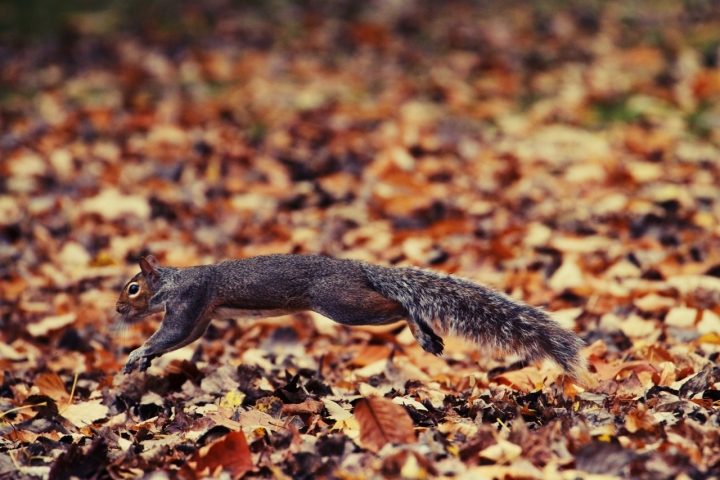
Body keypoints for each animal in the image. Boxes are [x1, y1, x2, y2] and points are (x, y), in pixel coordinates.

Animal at [115, 255, 592, 386]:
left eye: (132, 288)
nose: (118, 311)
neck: (172, 281)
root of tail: (357, 267)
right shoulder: (202, 316)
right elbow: (185, 337)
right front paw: (144, 359)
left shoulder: (189, 302)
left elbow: (171, 333)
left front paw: (138, 352)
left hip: (341, 303)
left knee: (400, 306)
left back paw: (422, 331)